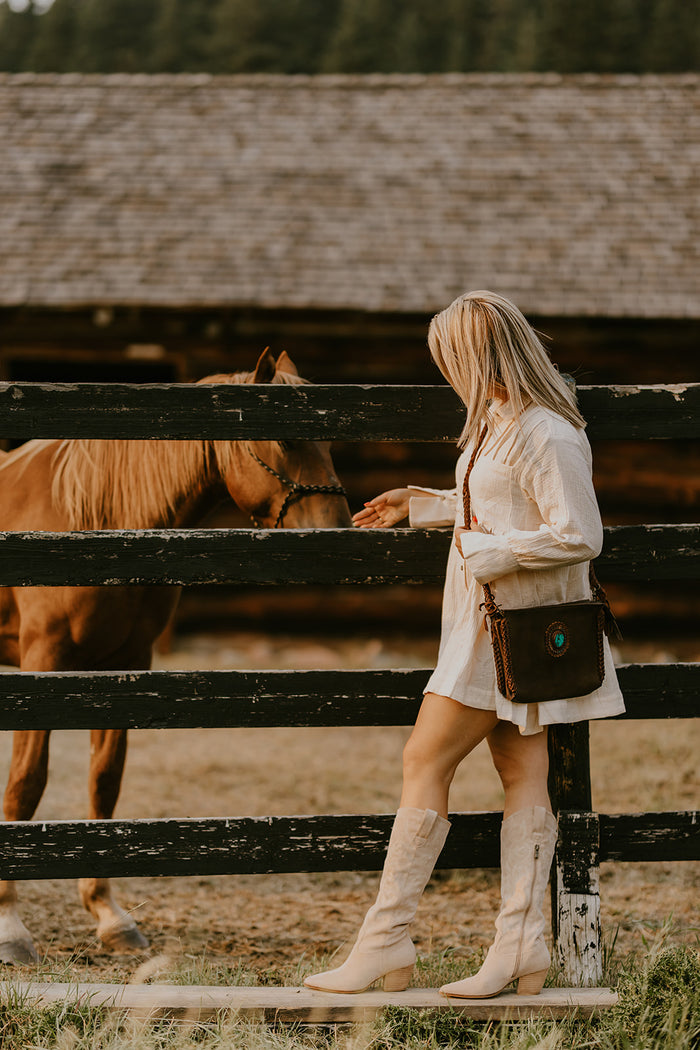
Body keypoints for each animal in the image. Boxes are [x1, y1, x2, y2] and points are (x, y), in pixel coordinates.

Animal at [0, 348, 350, 961]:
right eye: (284, 438)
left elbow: (104, 783)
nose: (338, 531)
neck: (94, 520)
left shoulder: (126, 664)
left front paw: (109, 915)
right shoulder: (41, 664)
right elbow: (25, 785)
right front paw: (9, 926)